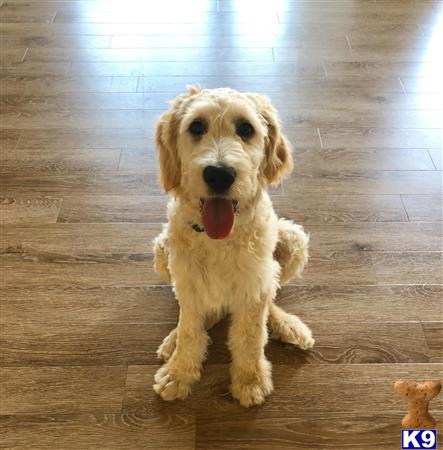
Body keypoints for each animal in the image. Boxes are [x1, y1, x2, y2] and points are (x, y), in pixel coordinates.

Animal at [153, 86, 316, 406]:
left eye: (246, 129)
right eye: (196, 126)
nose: (219, 174)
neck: (218, 238)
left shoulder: (254, 286)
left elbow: (250, 336)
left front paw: (250, 380)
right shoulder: (187, 281)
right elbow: (190, 330)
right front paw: (179, 372)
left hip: (292, 240)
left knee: (271, 296)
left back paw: (286, 325)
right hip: (161, 250)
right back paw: (173, 339)